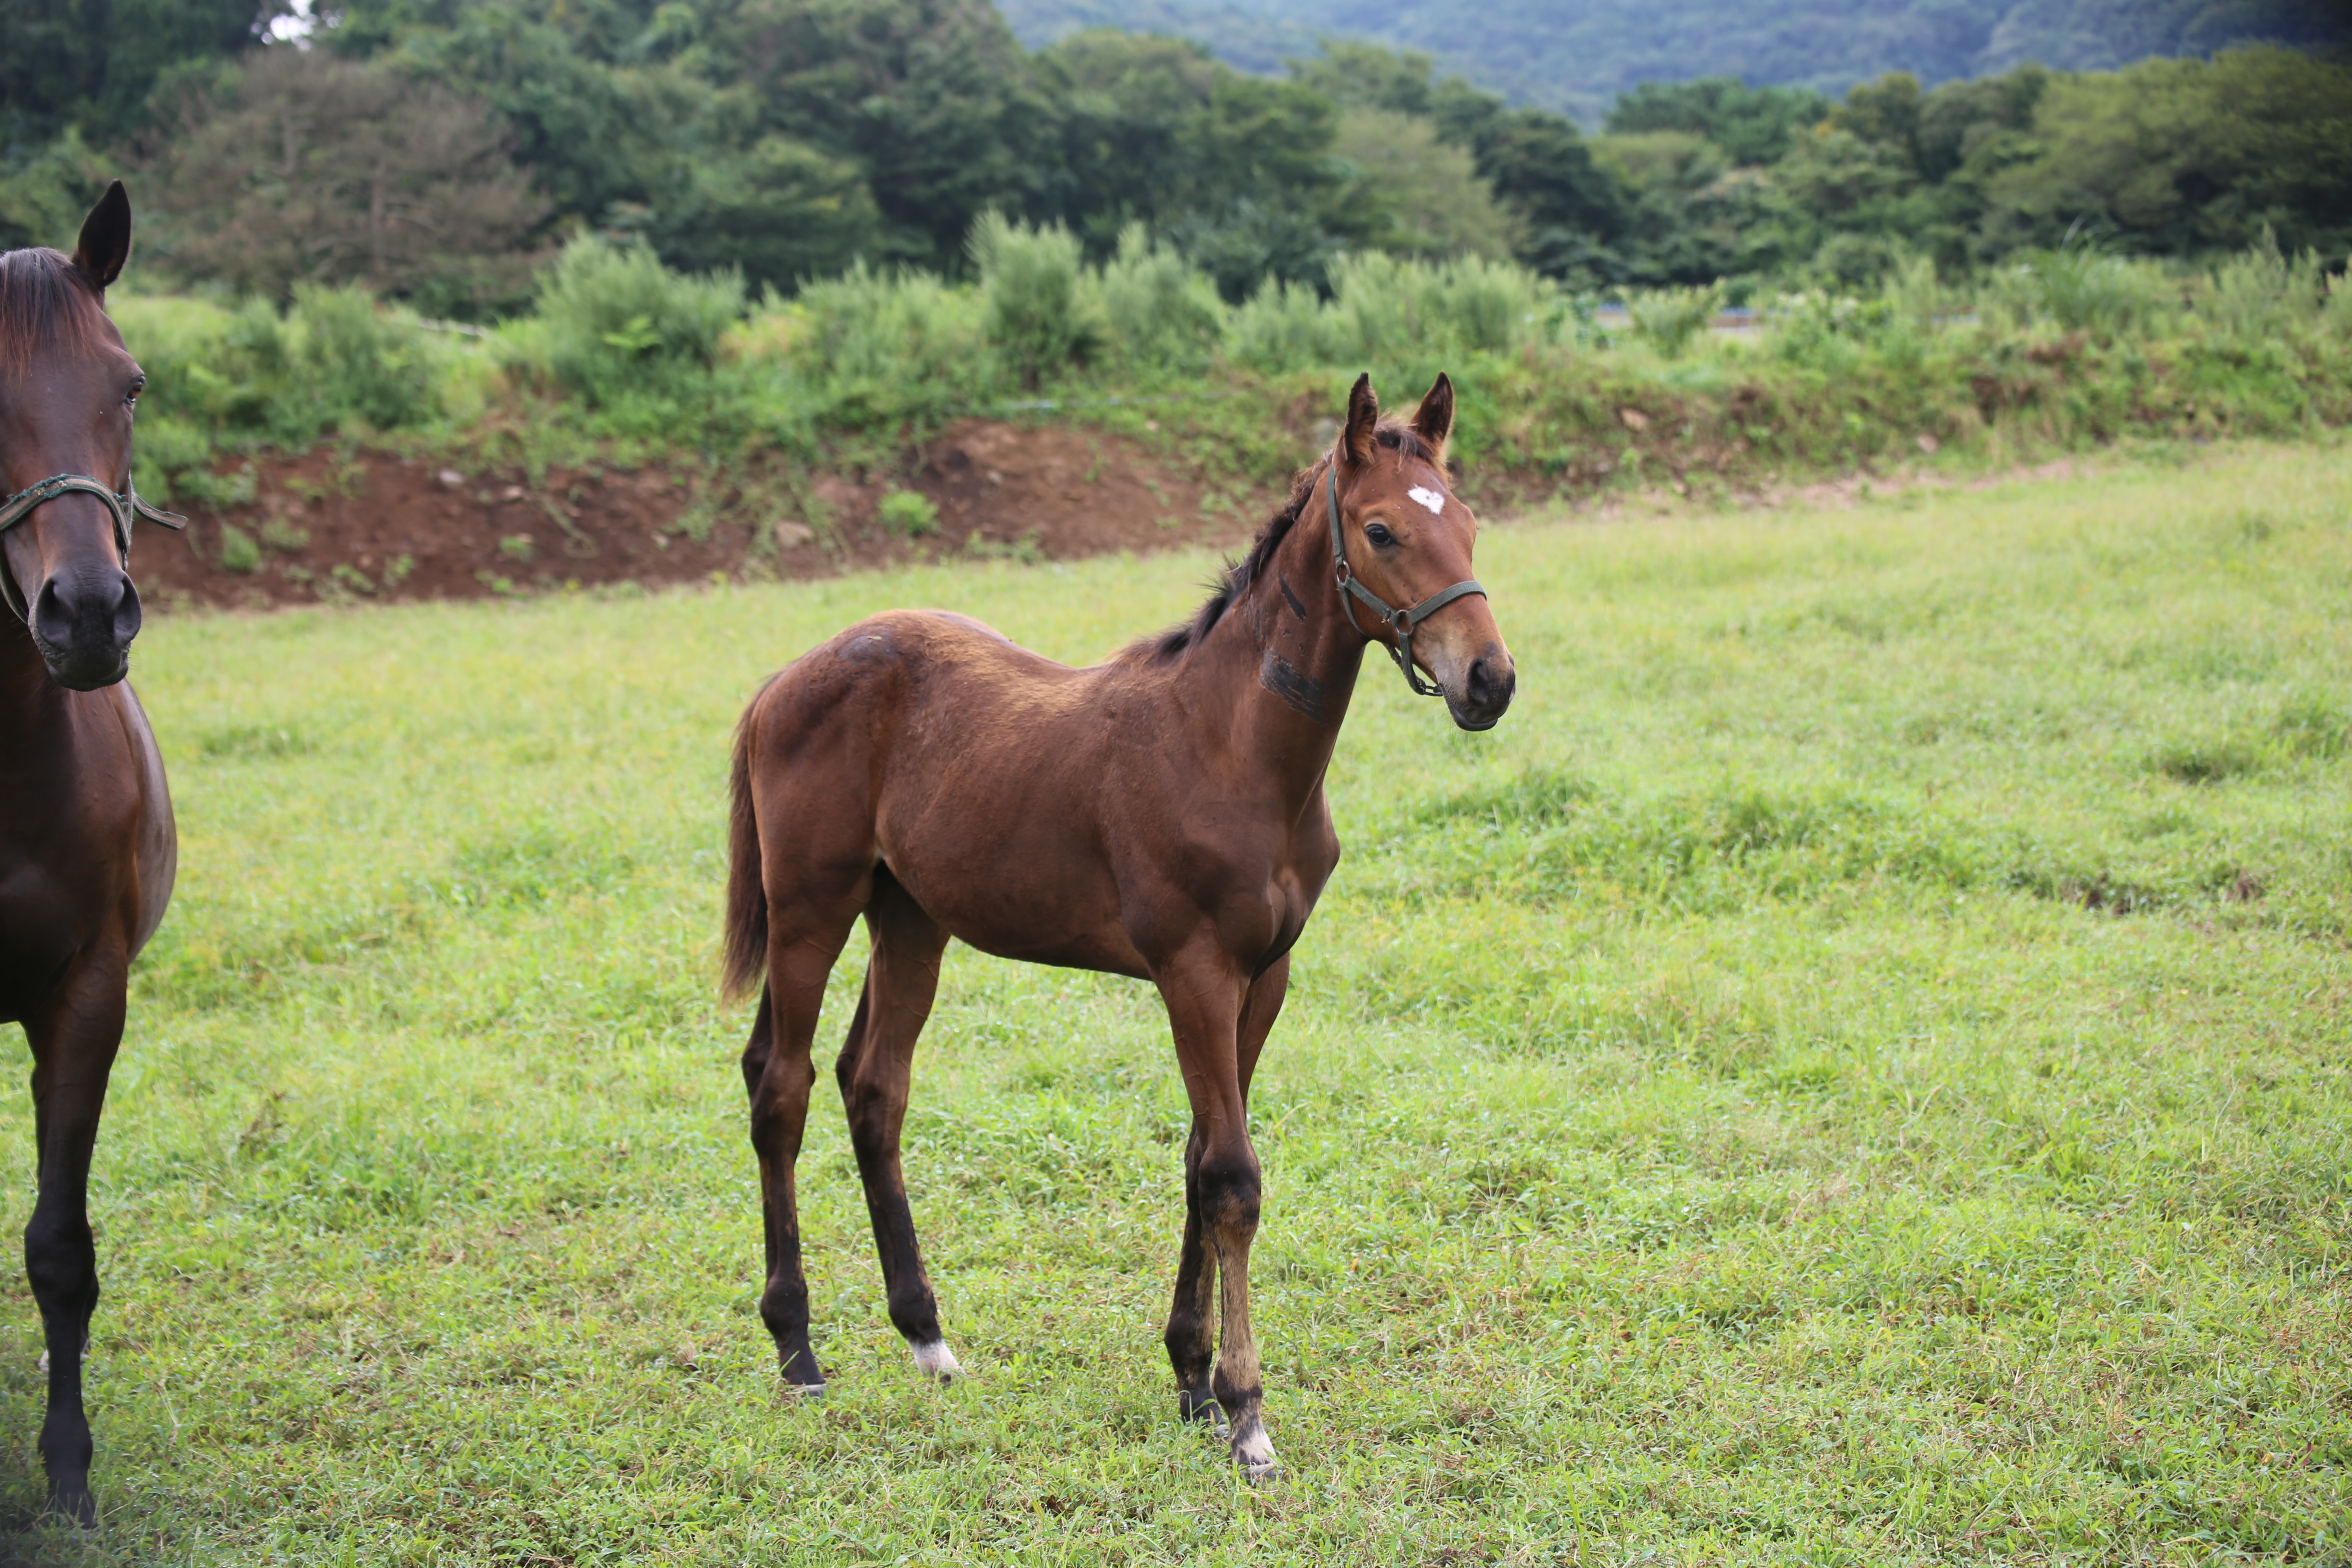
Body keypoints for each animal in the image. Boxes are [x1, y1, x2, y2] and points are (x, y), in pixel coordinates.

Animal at [724, 374, 1515, 1476]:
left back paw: (927, 1337)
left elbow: (1199, 1158)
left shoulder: (1263, 977)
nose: (1489, 680)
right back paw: (796, 1348)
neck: (1229, 746)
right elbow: (1231, 1178)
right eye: (1381, 530)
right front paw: (1246, 1414)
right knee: (782, 1086)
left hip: (910, 918)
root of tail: (781, 679)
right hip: (810, 908)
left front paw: (1189, 1376)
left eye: (1470, 523)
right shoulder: (1194, 972)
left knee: (872, 1086)